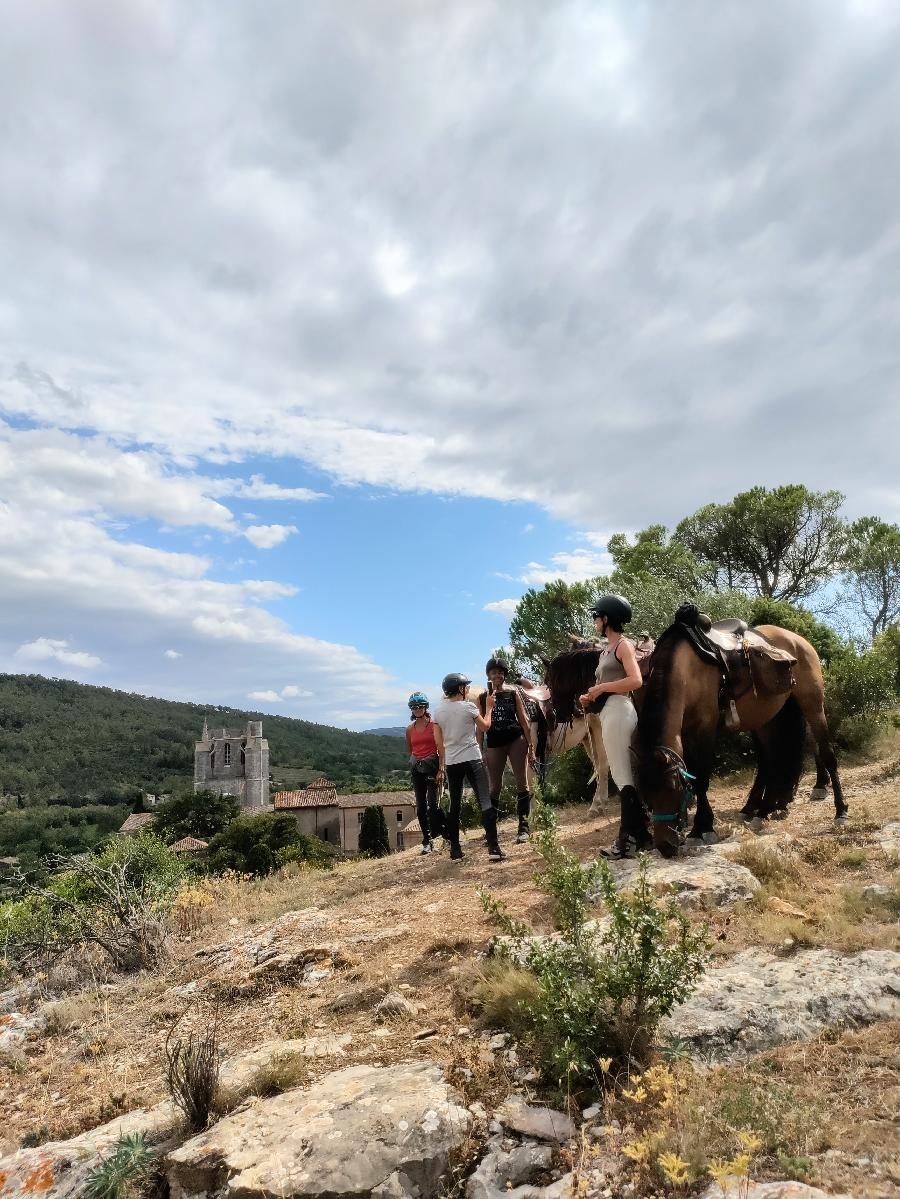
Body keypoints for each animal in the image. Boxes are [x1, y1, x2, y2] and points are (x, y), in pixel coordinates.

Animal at [637, 618, 848, 853]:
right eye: (645, 793)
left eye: (673, 788)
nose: (665, 846)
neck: (686, 667)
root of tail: (800, 641)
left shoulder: (705, 728)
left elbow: (701, 778)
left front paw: (701, 828)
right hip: (767, 717)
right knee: (771, 763)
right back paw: (761, 810)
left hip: (812, 706)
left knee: (826, 753)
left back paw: (839, 810)